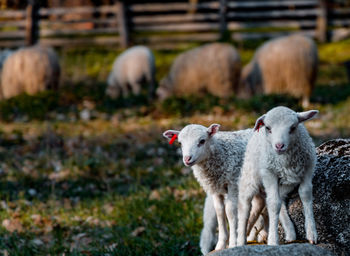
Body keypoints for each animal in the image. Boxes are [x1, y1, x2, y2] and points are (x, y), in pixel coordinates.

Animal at [163, 124, 253, 254]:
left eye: (202, 141)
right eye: (180, 143)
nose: (187, 159)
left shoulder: (233, 182)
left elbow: (230, 211)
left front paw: (233, 244)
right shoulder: (215, 188)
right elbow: (220, 211)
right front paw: (220, 246)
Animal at [237, 105, 318, 246]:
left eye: (293, 127)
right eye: (268, 128)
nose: (279, 146)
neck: (285, 160)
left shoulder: (308, 170)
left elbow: (306, 195)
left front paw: (311, 233)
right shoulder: (269, 173)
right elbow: (274, 204)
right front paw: (273, 241)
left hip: (286, 183)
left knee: (272, 202)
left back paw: (290, 233)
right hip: (250, 177)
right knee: (245, 207)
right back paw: (240, 241)